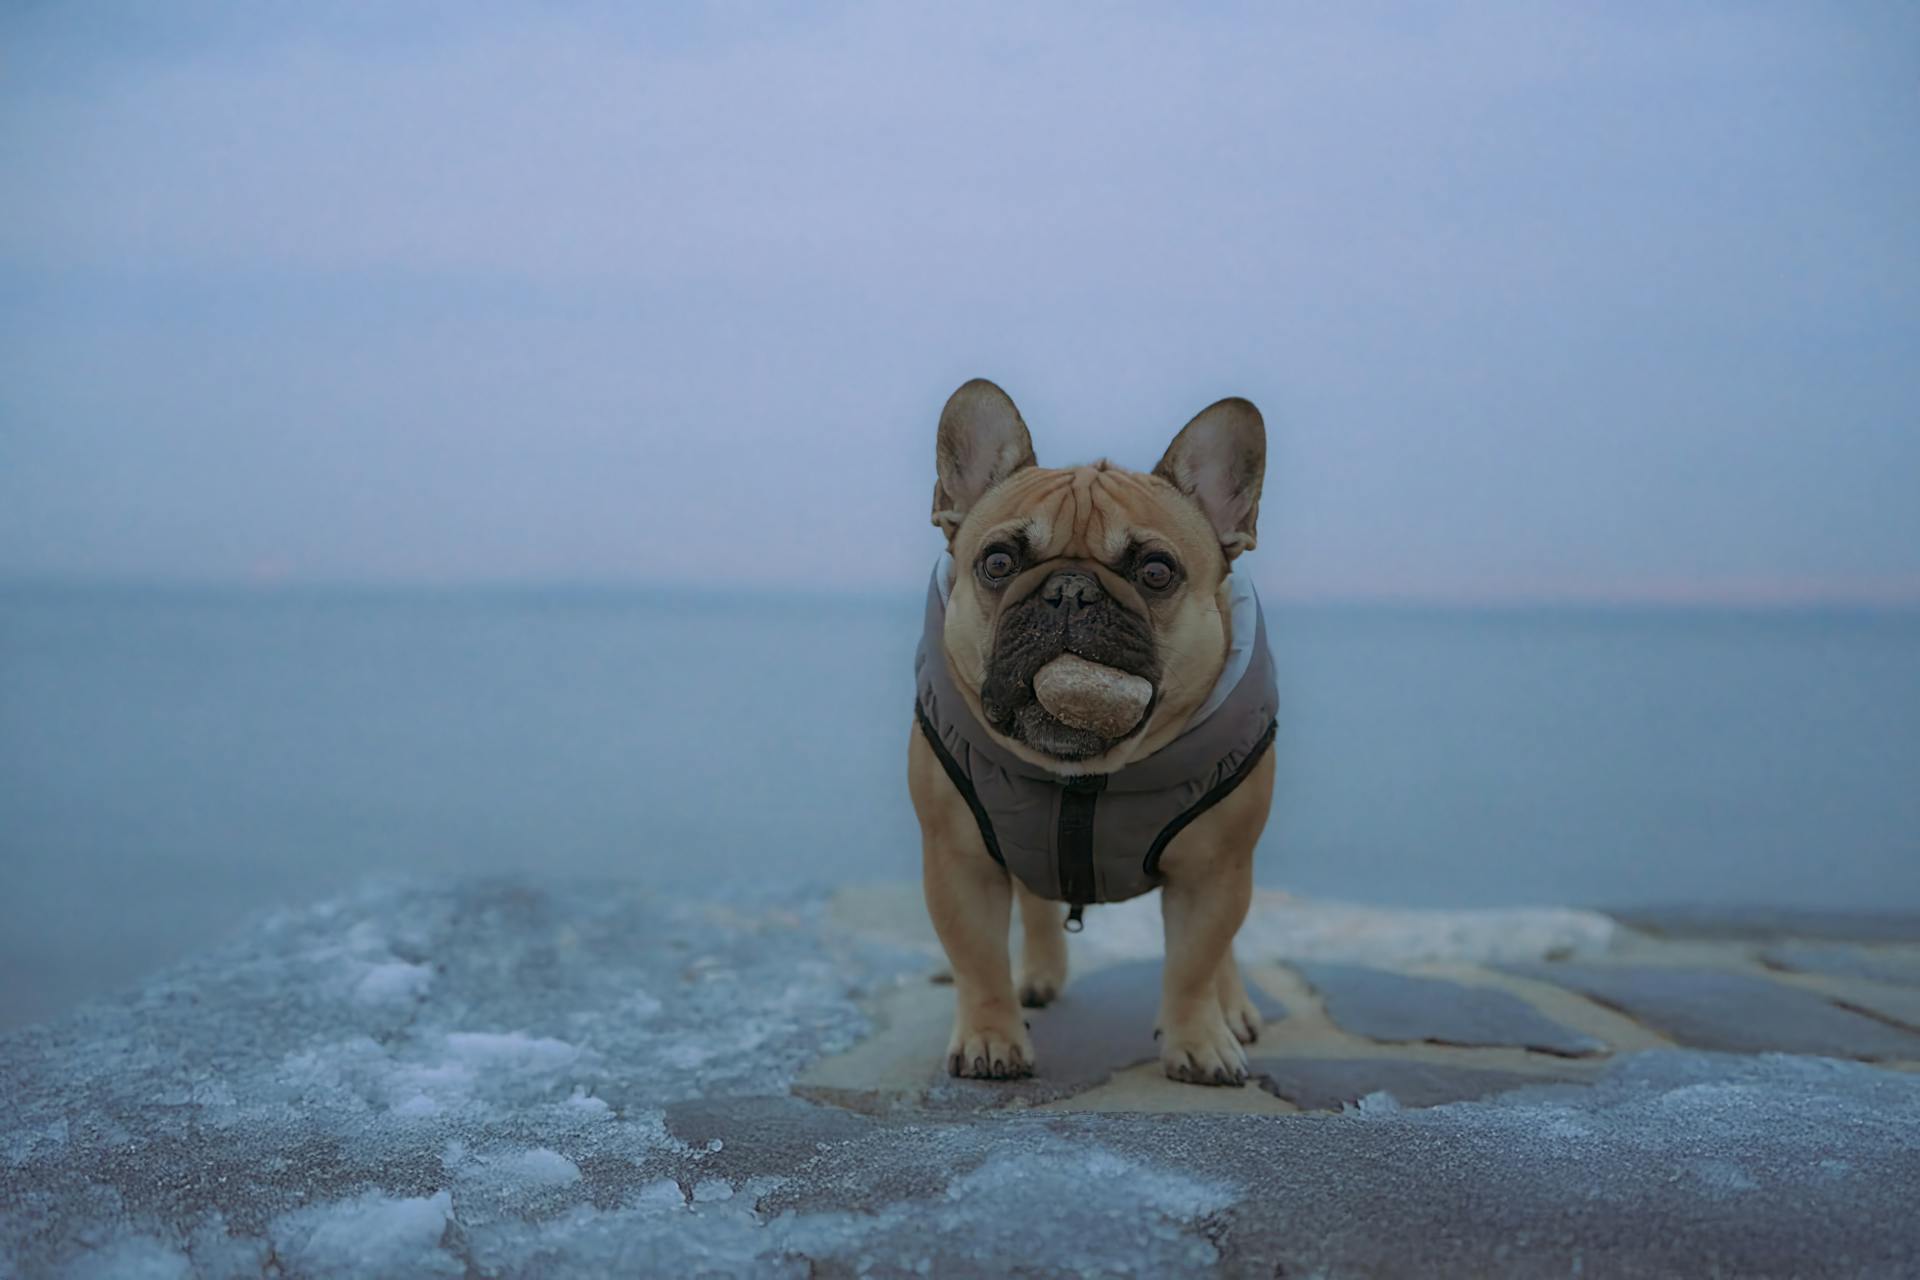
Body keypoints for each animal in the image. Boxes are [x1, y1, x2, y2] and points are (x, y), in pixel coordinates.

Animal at [902, 376, 1274, 1090]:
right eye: (998, 561)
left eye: (1156, 572)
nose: (1070, 591)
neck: (1082, 772)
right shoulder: (958, 859)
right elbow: (977, 956)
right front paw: (992, 1037)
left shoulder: (1215, 871)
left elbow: (1196, 961)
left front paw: (1199, 1041)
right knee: (1036, 903)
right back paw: (1038, 976)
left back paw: (1235, 1008)